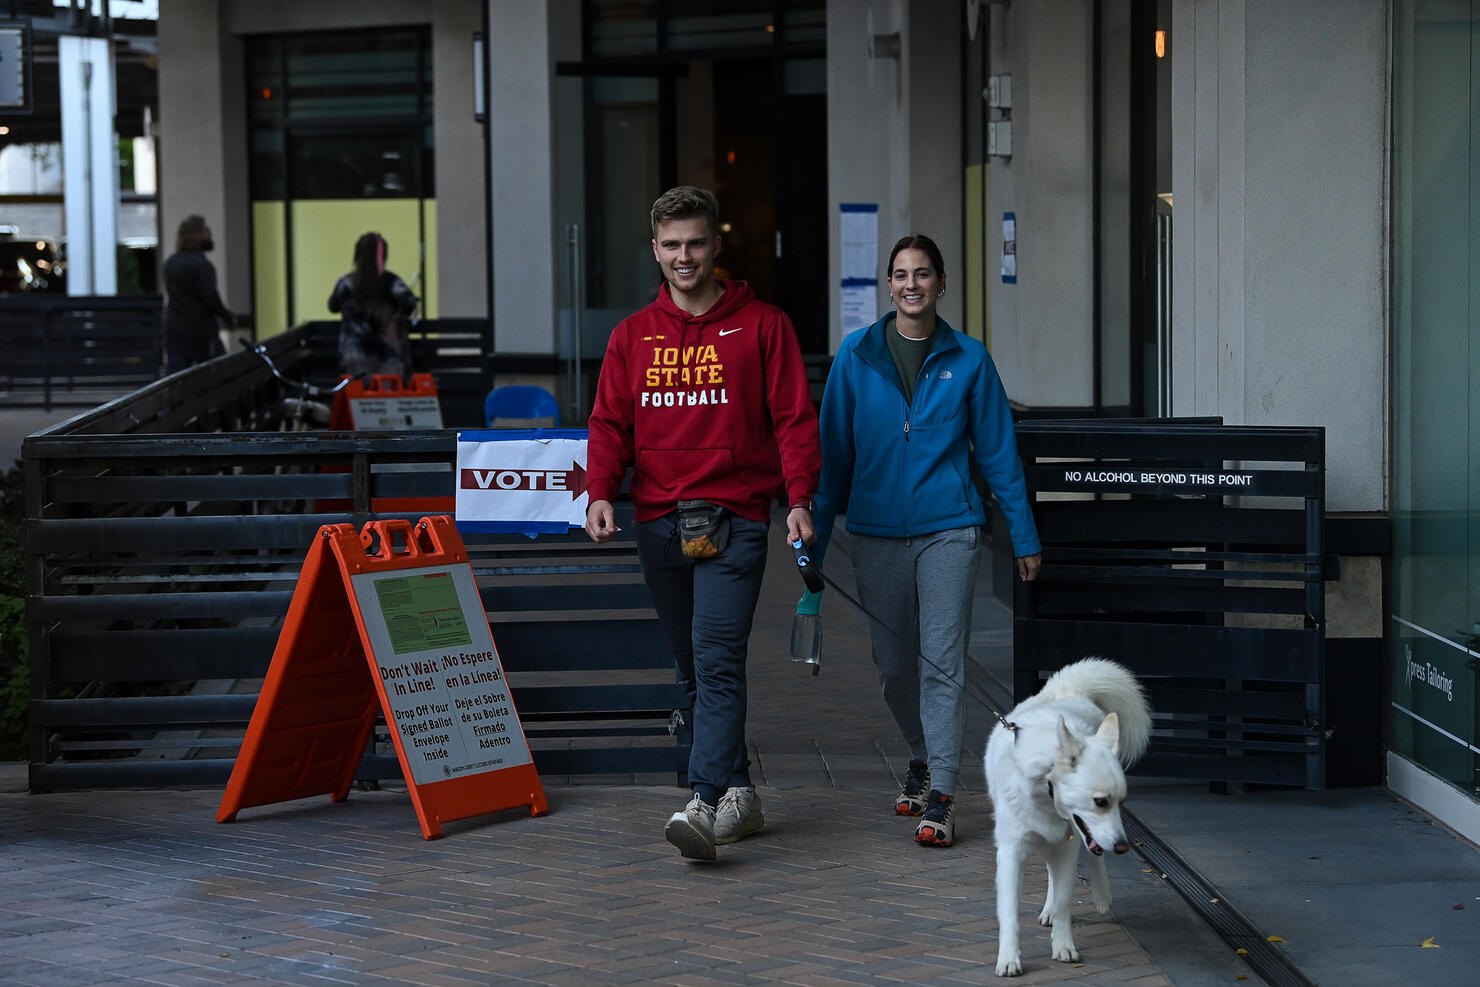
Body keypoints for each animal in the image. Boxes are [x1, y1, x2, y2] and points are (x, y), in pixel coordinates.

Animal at [988, 659, 1148, 976]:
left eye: (1120, 802)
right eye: (1100, 802)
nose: (1123, 847)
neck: (1044, 790)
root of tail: (1066, 689)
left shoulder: (1068, 846)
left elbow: (1064, 902)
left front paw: (1063, 946)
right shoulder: (1011, 852)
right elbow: (1009, 913)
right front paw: (1009, 958)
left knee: (1093, 860)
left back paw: (1101, 895)